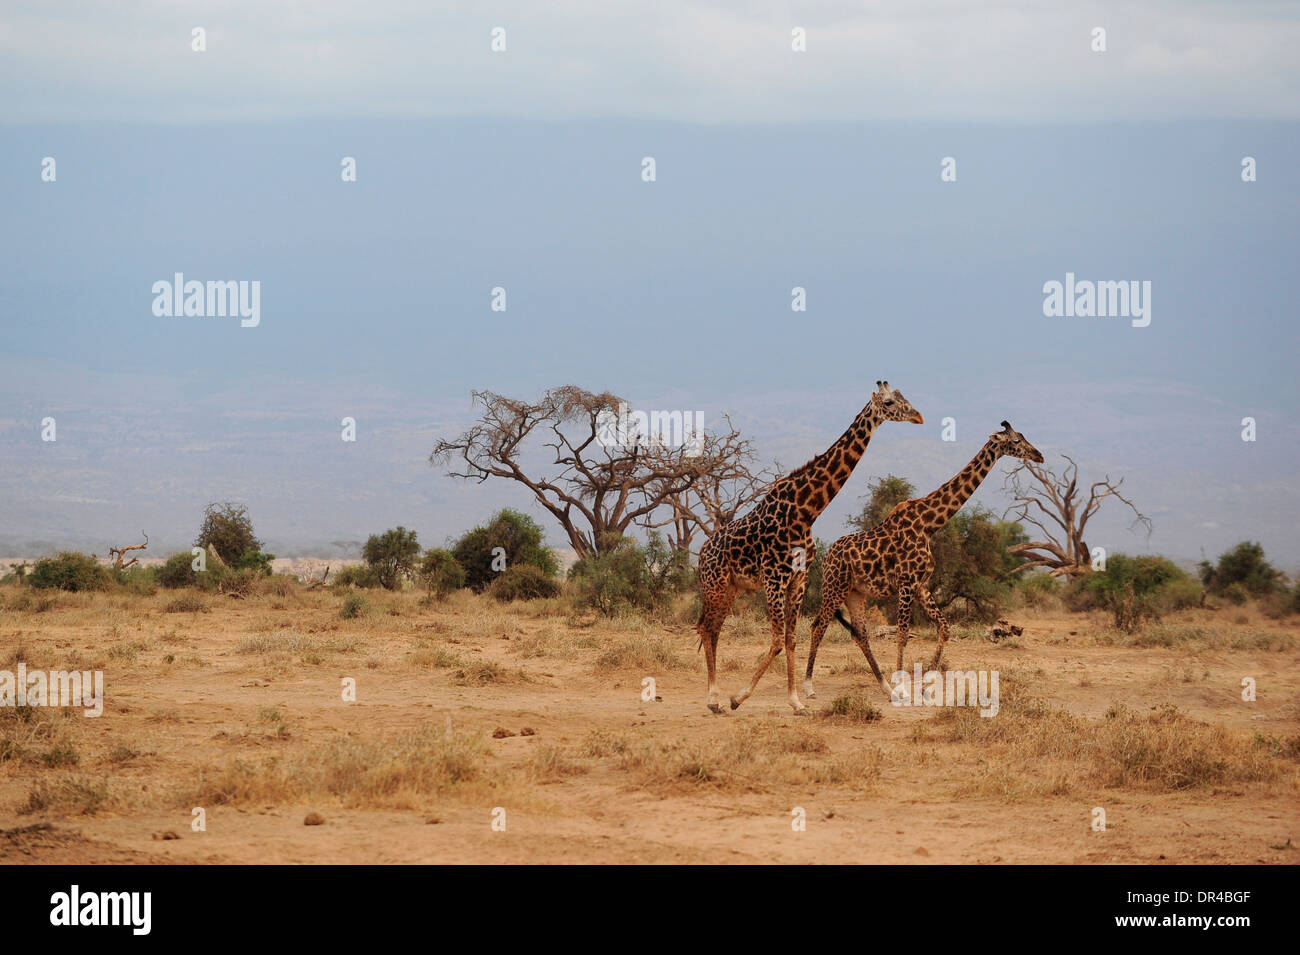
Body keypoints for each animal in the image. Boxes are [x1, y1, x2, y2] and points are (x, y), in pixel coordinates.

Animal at [694, 382, 924, 714]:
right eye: (891, 402)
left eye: (905, 397)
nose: (918, 416)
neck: (806, 511)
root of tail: (701, 553)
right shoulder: (774, 578)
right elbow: (778, 640)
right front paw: (739, 697)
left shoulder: (799, 578)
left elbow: (791, 639)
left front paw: (795, 701)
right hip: (715, 585)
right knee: (706, 628)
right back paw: (713, 699)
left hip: (731, 588)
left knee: (713, 628)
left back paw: (715, 697)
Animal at [804, 421, 1044, 700]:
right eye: (1016, 441)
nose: (1039, 455)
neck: (929, 525)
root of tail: (825, 557)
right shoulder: (907, 582)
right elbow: (902, 634)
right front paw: (903, 686)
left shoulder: (921, 585)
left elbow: (945, 627)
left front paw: (924, 683)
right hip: (835, 587)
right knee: (818, 626)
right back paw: (809, 686)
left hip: (856, 593)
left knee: (860, 634)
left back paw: (884, 686)